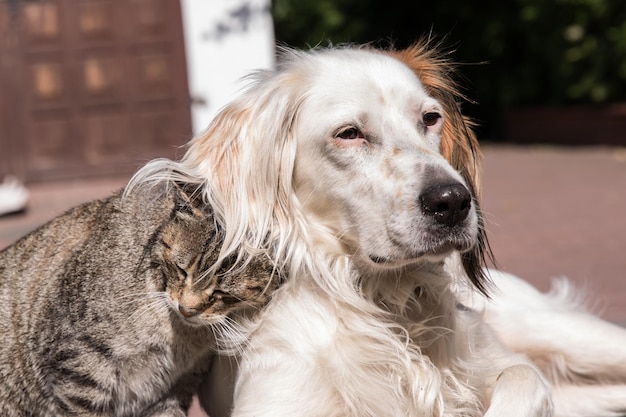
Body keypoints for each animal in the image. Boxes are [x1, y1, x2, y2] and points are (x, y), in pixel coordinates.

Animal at [132, 42, 624, 416]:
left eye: (430, 118)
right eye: (349, 133)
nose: (453, 201)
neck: (385, 304)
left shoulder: (506, 365)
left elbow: (521, 377)